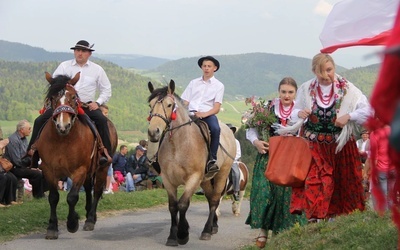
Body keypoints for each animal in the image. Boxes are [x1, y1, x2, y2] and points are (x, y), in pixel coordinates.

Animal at [34, 72, 117, 238]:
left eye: (73, 97)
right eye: (53, 97)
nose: (63, 125)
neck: (63, 140)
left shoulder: (79, 170)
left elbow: (72, 197)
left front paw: (72, 223)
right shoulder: (48, 170)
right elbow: (53, 198)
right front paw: (52, 227)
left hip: (102, 167)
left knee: (97, 190)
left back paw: (90, 219)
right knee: (89, 188)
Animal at [147, 80, 236, 246]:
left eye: (169, 105)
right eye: (150, 104)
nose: (153, 132)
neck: (178, 144)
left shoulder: (193, 178)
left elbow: (183, 204)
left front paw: (183, 234)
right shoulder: (168, 180)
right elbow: (173, 206)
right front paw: (172, 236)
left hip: (221, 174)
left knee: (214, 200)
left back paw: (207, 231)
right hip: (205, 180)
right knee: (210, 198)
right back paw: (213, 226)